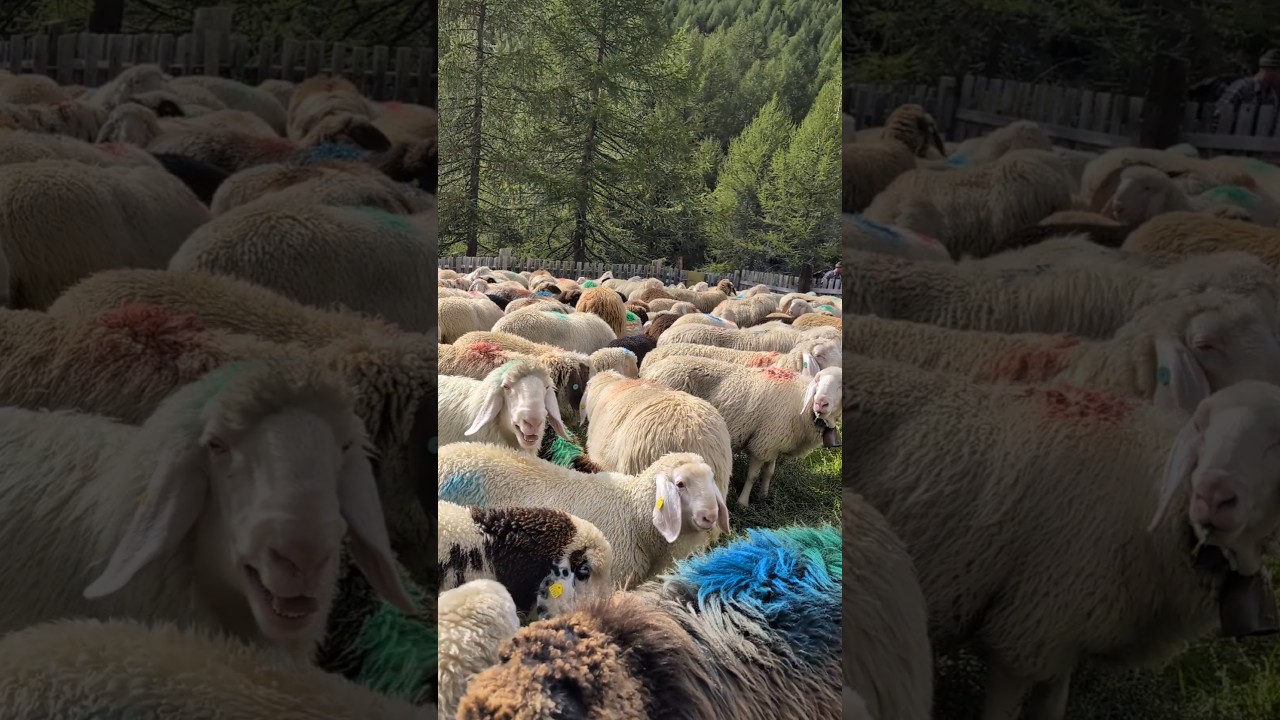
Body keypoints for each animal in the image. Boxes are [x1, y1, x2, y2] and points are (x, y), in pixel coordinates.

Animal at [640, 358, 841, 506]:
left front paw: (764, 495)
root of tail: (649, 369)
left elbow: (769, 472)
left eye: (840, 386)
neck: (802, 404)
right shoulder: (762, 444)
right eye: (817, 381)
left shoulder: (773, 442)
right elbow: (752, 476)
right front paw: (743, 502)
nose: (820, 403)